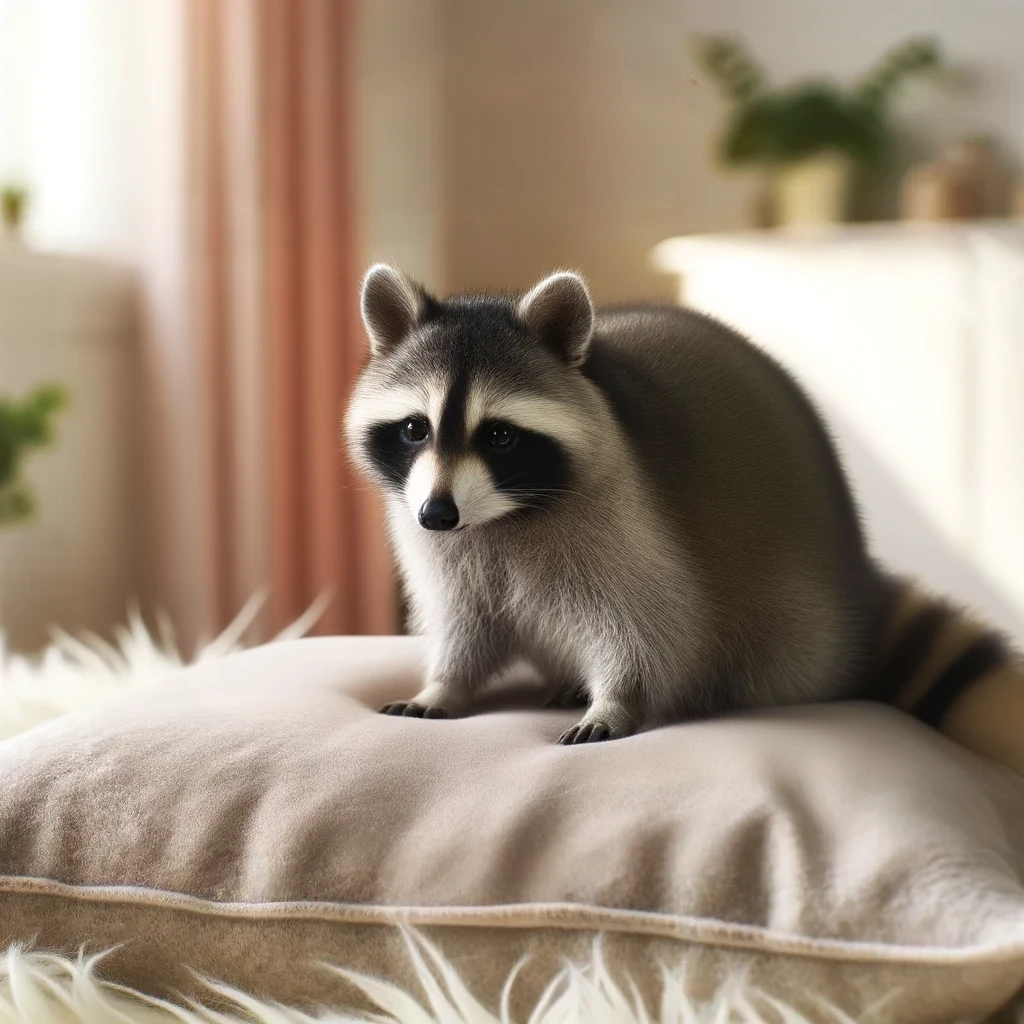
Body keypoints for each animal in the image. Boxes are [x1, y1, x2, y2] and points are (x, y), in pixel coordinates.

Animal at [345, 264, 1023, 771]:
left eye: (500, 436)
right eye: (415, 428)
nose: (438, 513)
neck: (505, 515)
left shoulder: (628, 520)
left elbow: (652, 624)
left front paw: (617, 699)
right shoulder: (440, 542)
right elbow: (465, 623)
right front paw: (445, 684)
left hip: (794, 620)